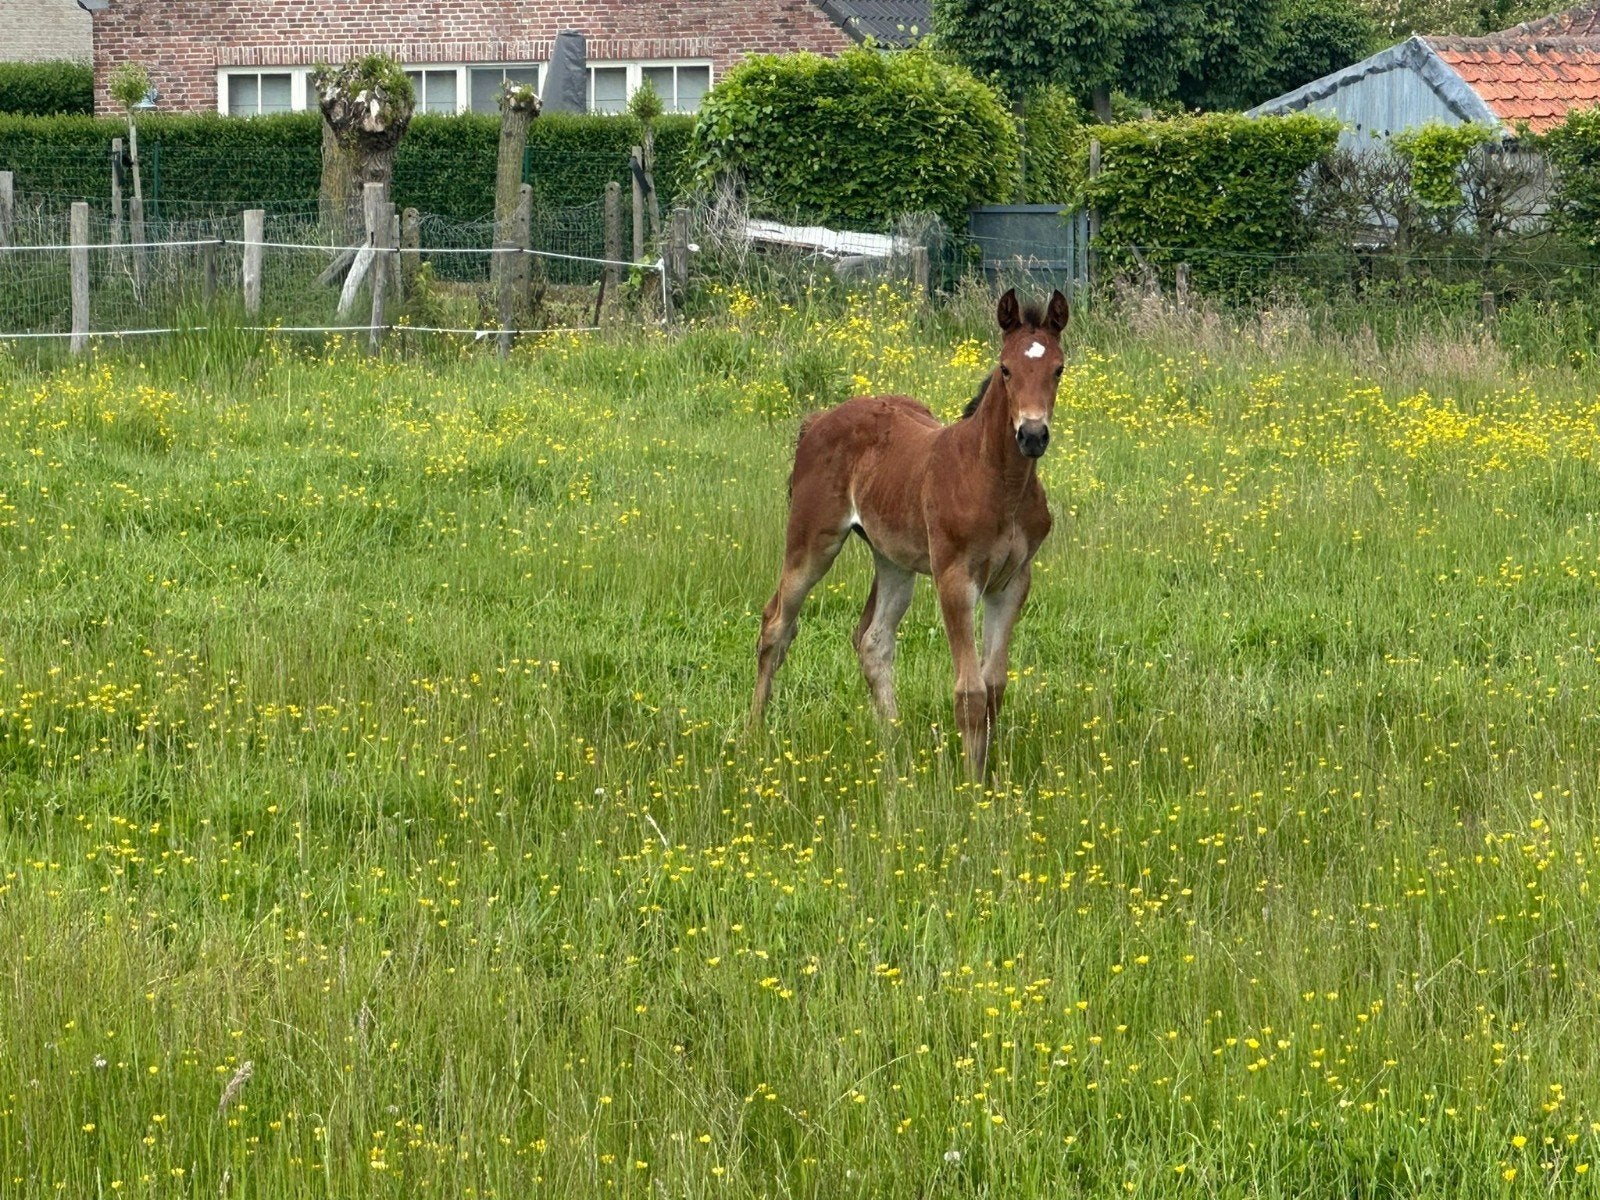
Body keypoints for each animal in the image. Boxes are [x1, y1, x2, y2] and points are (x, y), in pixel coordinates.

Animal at [752, 287, 1067, 774]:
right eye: (1006, 368)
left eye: (1058, 368)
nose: (1032, 435)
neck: (997, 482)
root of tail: (818, 419)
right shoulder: (954, 577)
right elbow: (971, 691)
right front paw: (972, 784)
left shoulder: (1012, 582)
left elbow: (995, 686)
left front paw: (992, 776)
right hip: (812, 540)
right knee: (776, 624)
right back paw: (752, 735)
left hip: (892, 559)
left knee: (873, 642)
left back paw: (894, 745)